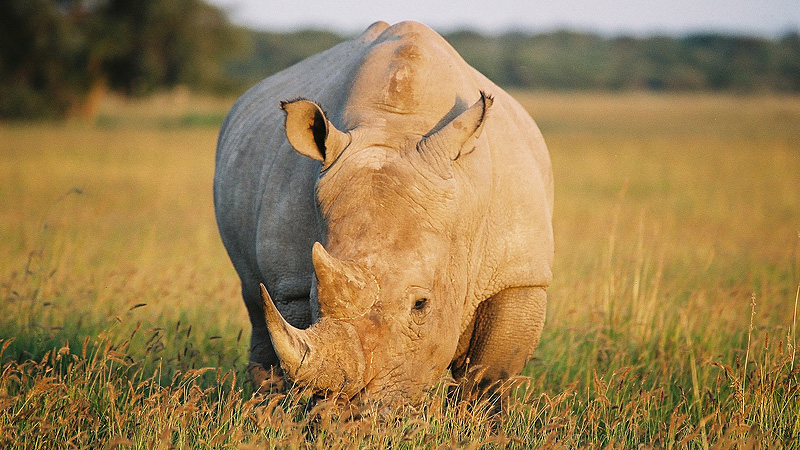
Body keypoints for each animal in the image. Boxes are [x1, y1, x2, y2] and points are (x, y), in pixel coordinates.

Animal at [214, 21, 553, 406]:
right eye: (316, 294)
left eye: (421, 304)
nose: (349, 410)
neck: (395, 125)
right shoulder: (291, 285)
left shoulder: (519, 276)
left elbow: (490, 376)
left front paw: (479, 419)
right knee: (255, 302)